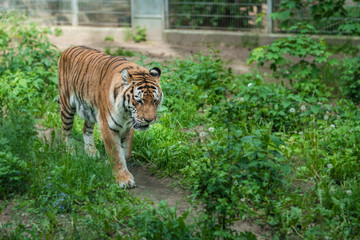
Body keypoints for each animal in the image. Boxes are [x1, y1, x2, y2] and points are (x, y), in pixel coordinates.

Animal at [58, 46, 163, 189]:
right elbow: (116, 154)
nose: (149, 120)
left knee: (86, 130)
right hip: (67, 105)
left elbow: (126, 152)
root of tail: (68, 49)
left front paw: (110, 165)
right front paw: (124, 179)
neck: (126, 113)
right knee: (66, 131)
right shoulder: (108, 126)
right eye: (139, 101)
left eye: (155, 101)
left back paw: (91, 151)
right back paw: (70, 150)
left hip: (90, 111)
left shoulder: (128, 127)